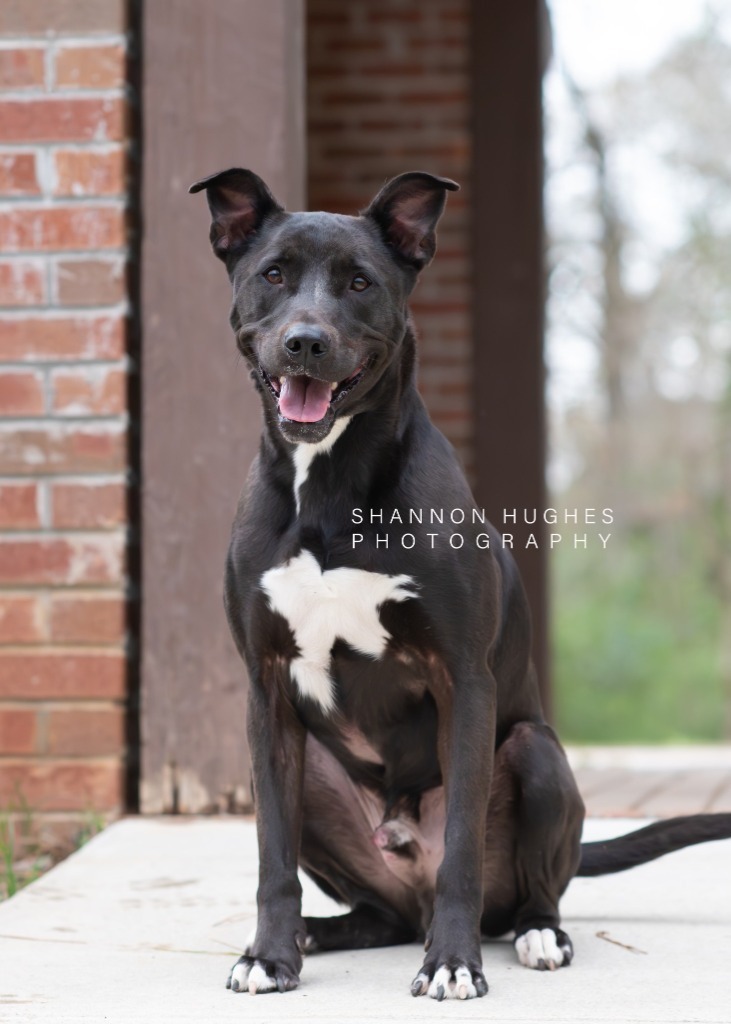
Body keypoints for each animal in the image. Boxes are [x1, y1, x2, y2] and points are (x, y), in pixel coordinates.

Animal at [190, 169, 728, 999]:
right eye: (272, 275)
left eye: (359, 282)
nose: (305, 341)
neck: (330, 488)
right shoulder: (266, 687)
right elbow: (270, 855)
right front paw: (268, 955)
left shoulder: (463, 681)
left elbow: (465, 854)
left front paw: (452, 963)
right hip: (316, 781)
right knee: (379, 916)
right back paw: (319, 932)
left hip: (536, 753)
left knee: (525, 890)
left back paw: (536, 934)